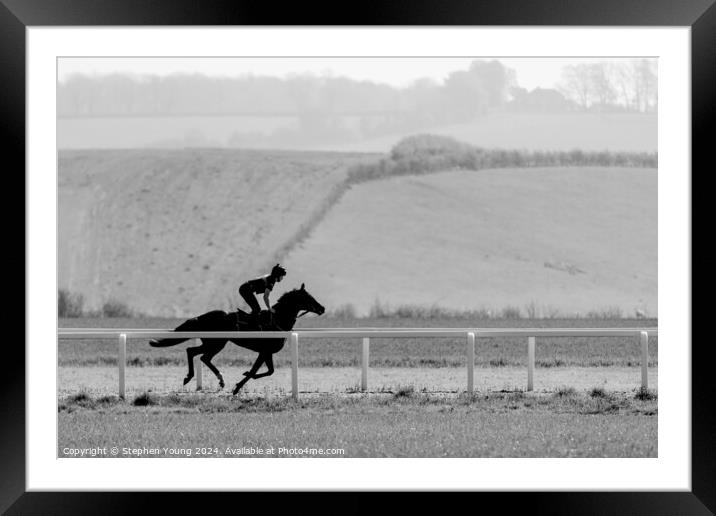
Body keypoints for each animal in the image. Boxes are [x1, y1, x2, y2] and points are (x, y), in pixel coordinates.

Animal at [150, 284, 326, 394]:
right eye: (308, 298)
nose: (322, 308)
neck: (277, 320)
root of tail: (201, 317)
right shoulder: (264, 351)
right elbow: (257, 370)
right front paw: (237, 387)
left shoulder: (267, 352)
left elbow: (269, 371)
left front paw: (243, 376)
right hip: (216, 343)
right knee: (196, 353)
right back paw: (193, 377)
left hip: (214, 343)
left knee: (198, 355)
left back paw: (214, 379)